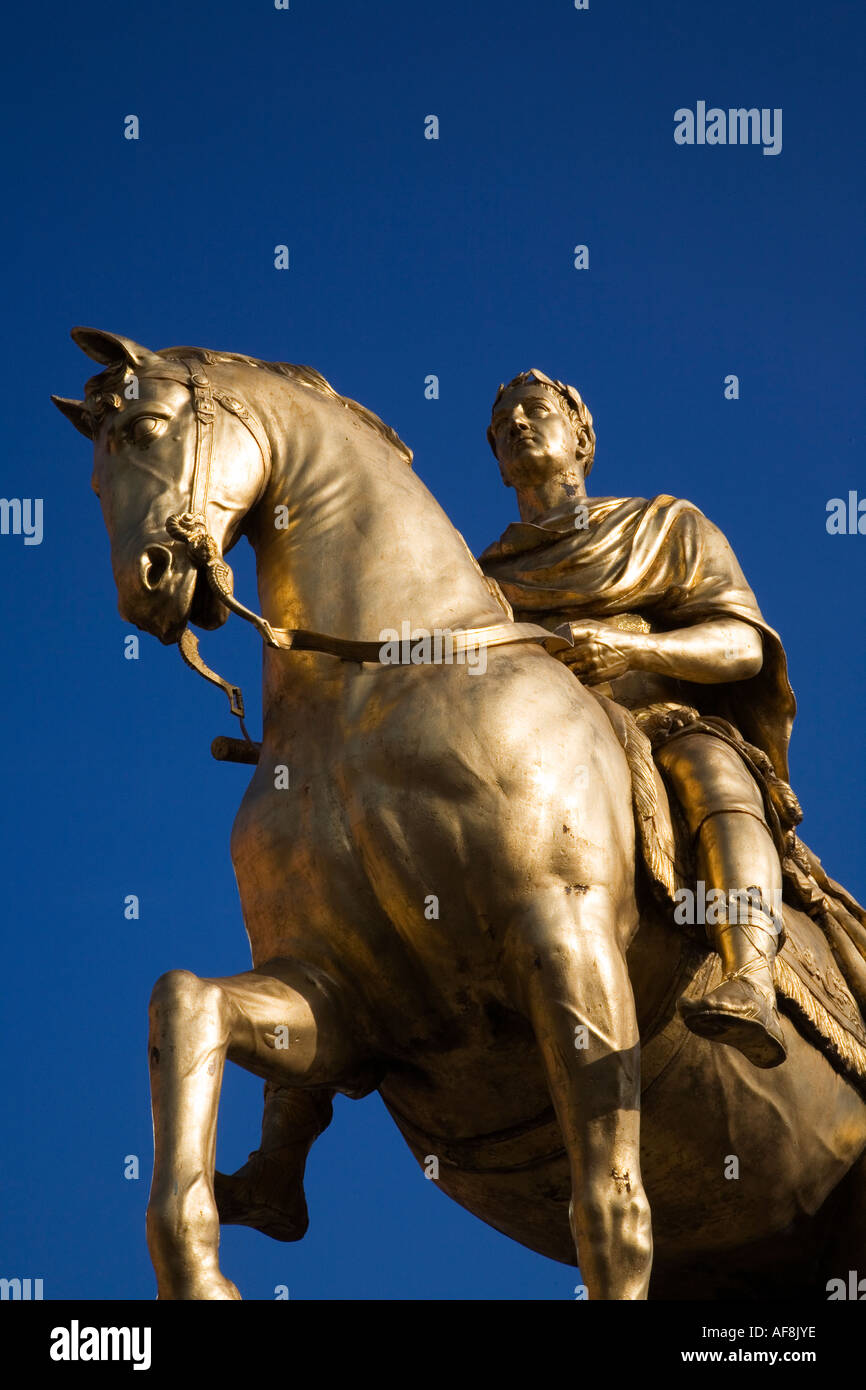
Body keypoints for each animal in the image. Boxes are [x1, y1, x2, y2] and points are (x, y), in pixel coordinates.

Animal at [52, 328, 866, 1301]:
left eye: (144, 428)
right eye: (93, 478)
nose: (147, 585)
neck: (366, 700)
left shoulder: (567, 939)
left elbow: (612, 1213)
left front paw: (600, 642)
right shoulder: (345, 1002)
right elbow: (184, 1002)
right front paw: (200, 1264)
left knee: (718, 777)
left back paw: (743, 1003)